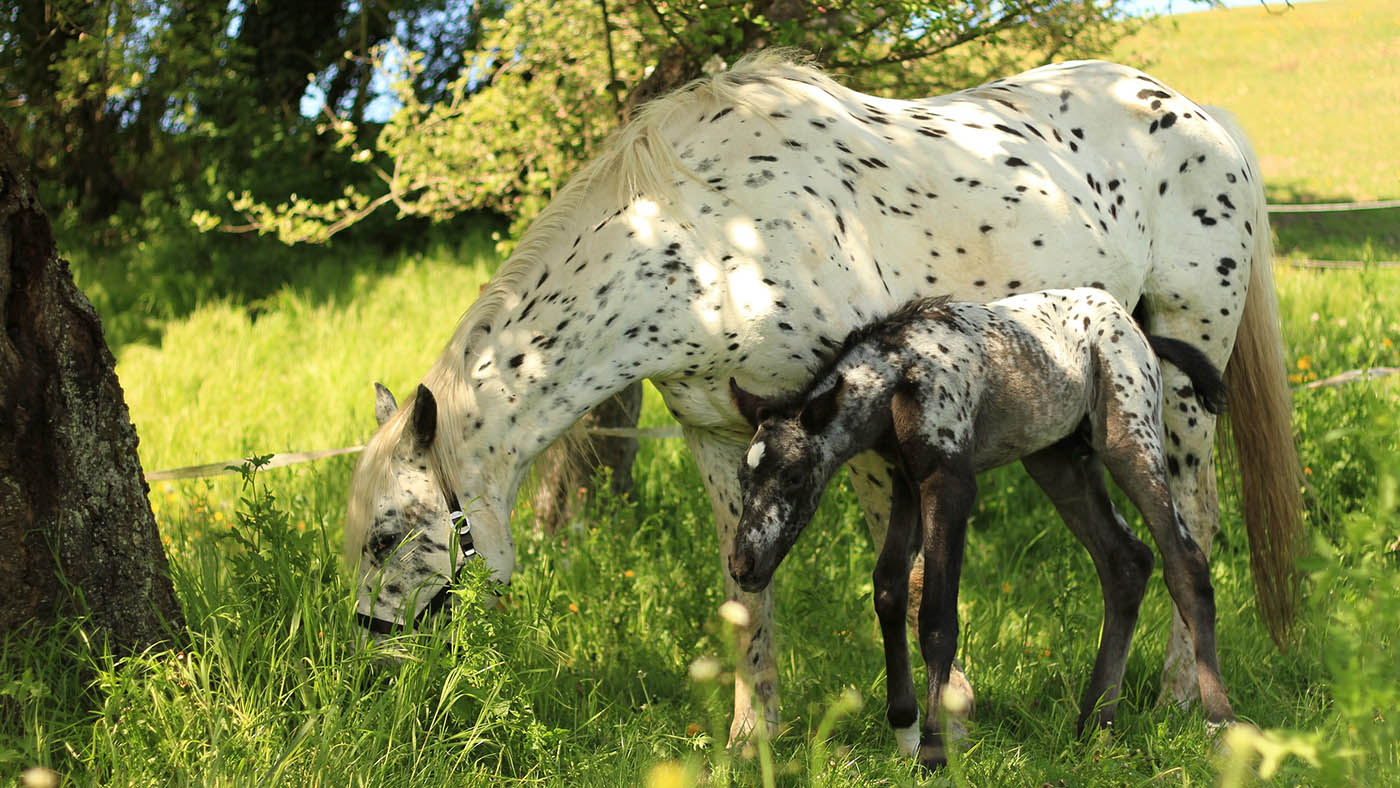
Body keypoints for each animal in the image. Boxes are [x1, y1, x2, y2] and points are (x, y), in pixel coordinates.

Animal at [727, 289, 1236, 768]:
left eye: (794, 476)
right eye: (742, 477)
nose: (742, 565)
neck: (901, 377)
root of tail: (1136, 327)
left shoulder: (950, 484)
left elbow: (937, 617)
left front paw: (934, 752)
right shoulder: (907, 482)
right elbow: (888, 589)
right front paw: (905, 730)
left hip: (1130, 440)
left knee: (1185, 562)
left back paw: (1219, 724)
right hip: (1057, 460)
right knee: (1127, 562)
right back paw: (1095, 723)